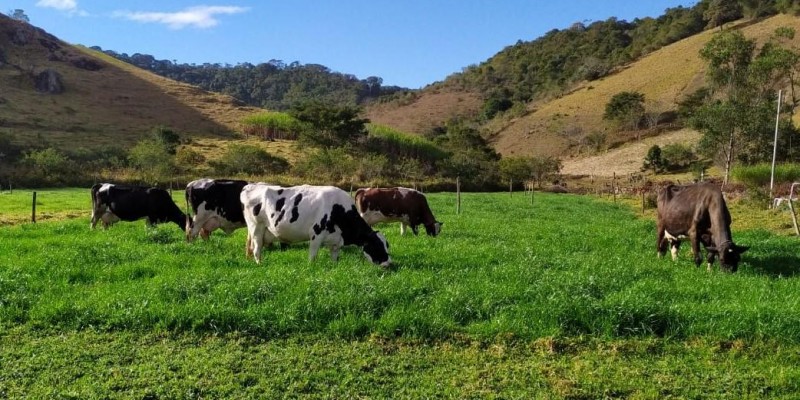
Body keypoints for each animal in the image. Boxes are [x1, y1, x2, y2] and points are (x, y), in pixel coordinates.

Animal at [242, 183, 392, 268]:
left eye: (387, 245)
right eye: (376, 245)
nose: (389, 264)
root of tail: (250, 186)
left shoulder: (336, 240)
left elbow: (335, 258)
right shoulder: (316, 235)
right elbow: (313, 257)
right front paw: (311, 269)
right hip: (256, 228)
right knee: (256, 250)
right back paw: (260, 265)